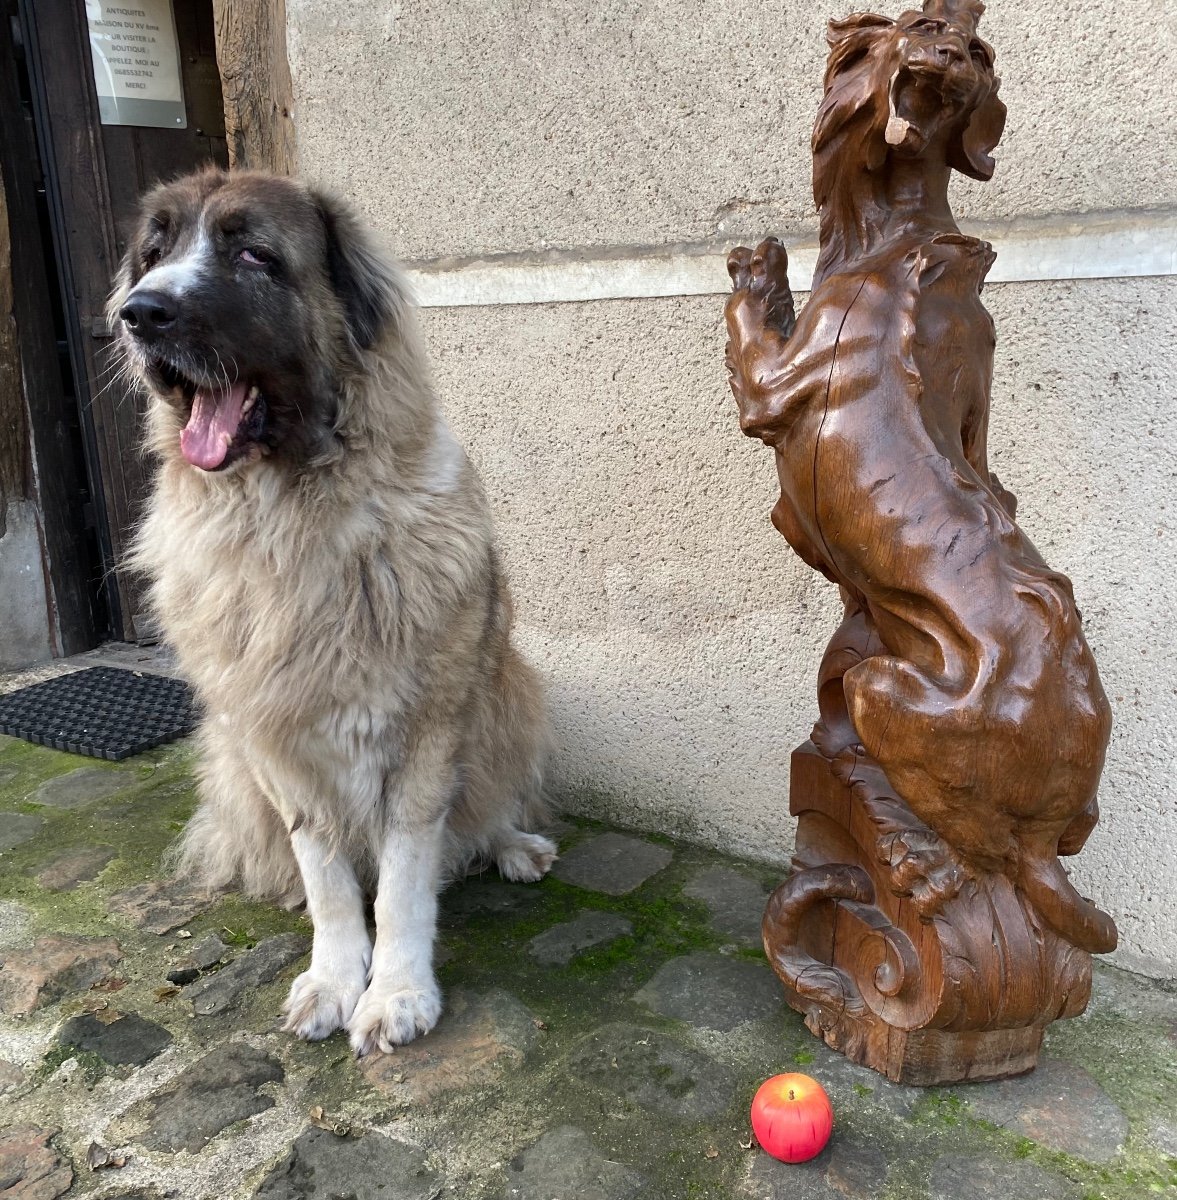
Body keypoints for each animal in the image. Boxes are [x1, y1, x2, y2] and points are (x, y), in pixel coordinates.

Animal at [109, 169, 551, 1051]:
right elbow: (329, 878)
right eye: (153, 253)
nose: (139, 312)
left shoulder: (425, 733)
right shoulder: (274, 739)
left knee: (482, 813)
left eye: (252, 253)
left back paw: (512, 846)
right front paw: (335, 978)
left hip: (511, 693)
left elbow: (407, 878)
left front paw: (398, 992)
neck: (291, 517)